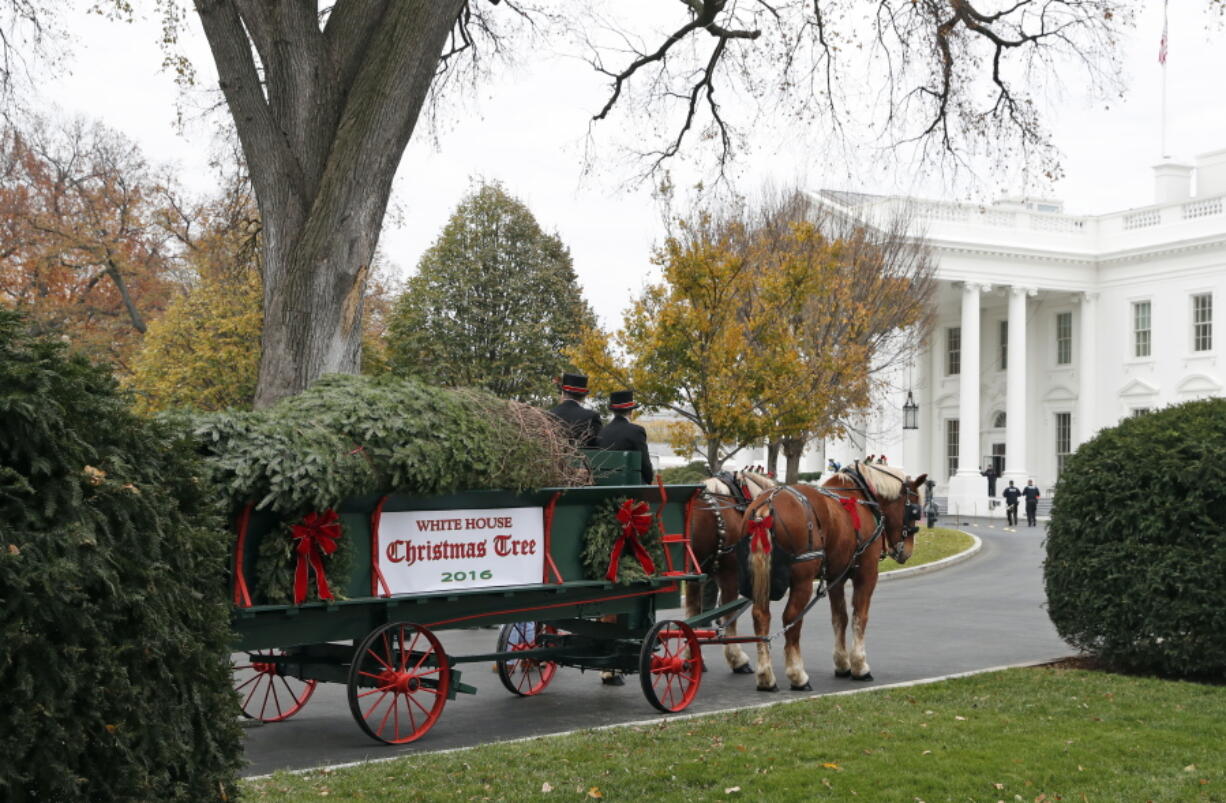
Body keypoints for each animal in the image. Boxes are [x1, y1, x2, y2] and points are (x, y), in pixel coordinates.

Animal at [681, 468, 774, 676]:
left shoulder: (695, 575)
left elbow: (692, 612)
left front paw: (692, 658)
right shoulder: (730, 574)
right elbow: (729, 614)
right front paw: (737, 659)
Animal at [730, 460, 921, 696]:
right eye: (914, 510)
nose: (907, 552)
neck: (862, 497)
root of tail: (767, 505)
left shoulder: (835, 577)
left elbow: (840, 617)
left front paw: (842, 664)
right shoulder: (866, 573)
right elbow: (859, 617)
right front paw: (859, 666)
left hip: (760, 581)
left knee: (761, 616)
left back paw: (766, 676)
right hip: (802, 581)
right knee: (791, 618)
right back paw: (797, 675)